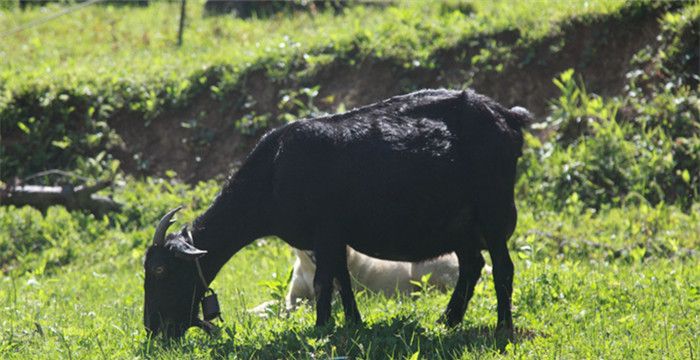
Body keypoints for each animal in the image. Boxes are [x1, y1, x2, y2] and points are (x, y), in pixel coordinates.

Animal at [144, 88, 532, 338]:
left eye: (161, 270)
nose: (153, 329)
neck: (274, 171)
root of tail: (509, 117)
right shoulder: (333, 236)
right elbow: (341, 280)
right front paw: (352, 323)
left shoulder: (326, 230)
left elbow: (323, 282)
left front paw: (320, 328)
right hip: (459, 222)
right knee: (472, 264)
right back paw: (448, 321)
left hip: (492, 206)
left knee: (502, 267)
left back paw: (503, 327)